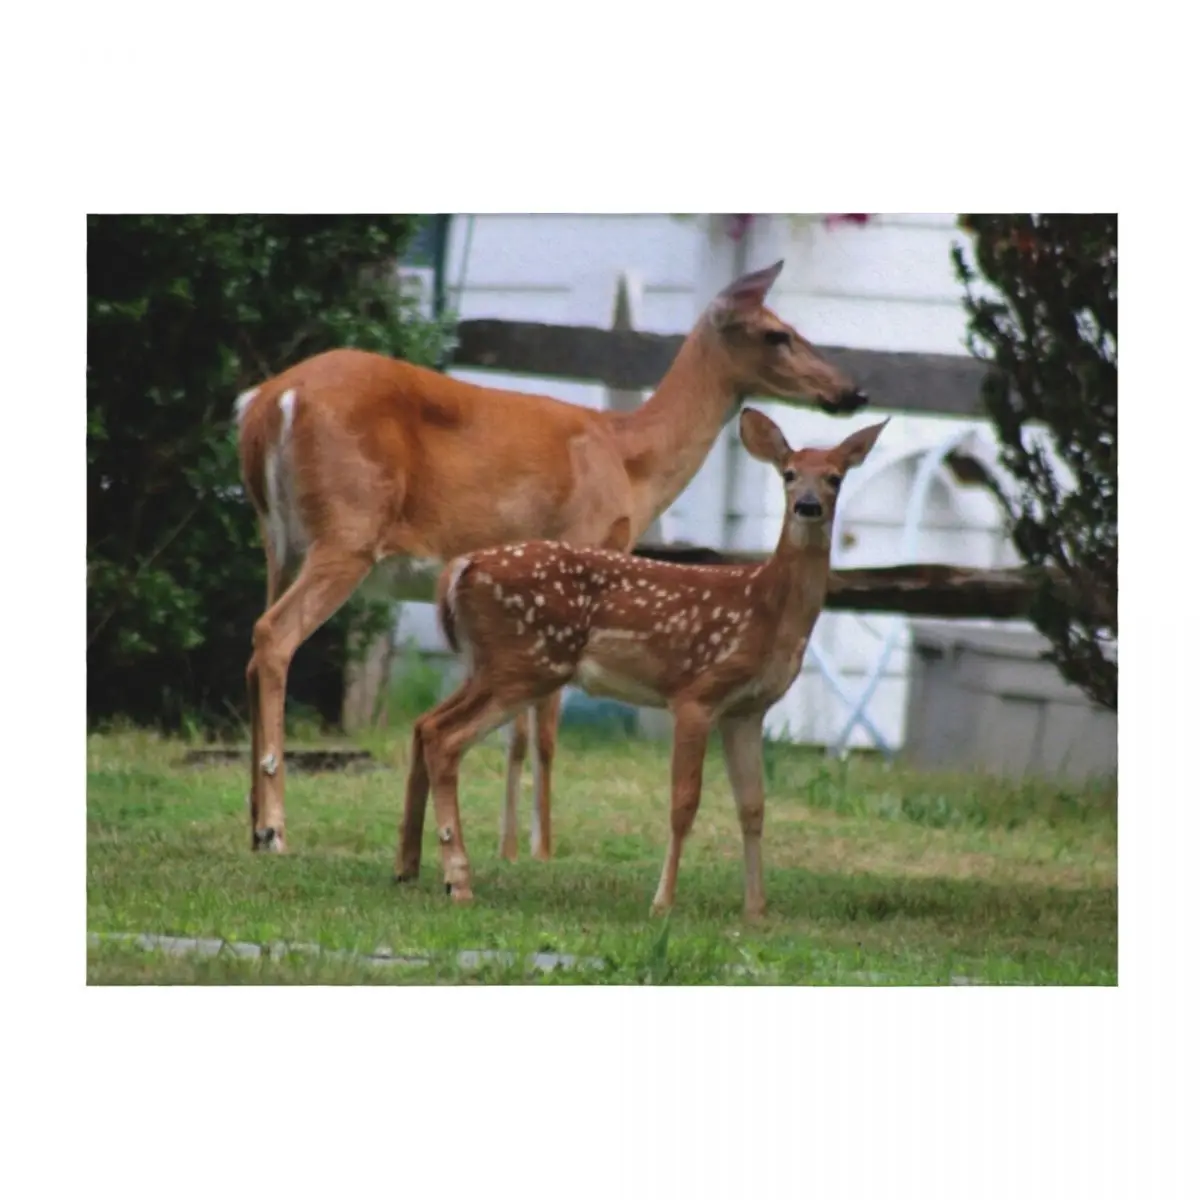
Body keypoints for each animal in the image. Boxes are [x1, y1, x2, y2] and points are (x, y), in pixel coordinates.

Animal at [235, 259, 868, 857]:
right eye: (776, 333)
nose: (852, 391)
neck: (630, 458)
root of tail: (268, 401)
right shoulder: (584, 550)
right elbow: (544, 729)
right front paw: (542, 848)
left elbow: (514, 731)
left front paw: (509, 847)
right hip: (348, 531)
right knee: (275, 635)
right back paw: (276, 827)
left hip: (277, 540)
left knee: (254, 642)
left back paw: (254, 822)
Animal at [397, 410, 888, 917]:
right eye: (788, 474)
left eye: (834, 477)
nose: (808, 506)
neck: (768, 609)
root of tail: (461, 568)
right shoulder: (697, 692)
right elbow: (684, 803)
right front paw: (663, 902)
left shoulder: (747, 710)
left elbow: (753, 806)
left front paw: (756, 910)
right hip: (527, 663)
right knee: (445, 737)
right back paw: (459, 880)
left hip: (491, 664)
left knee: (424, 724)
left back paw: (409, 867)